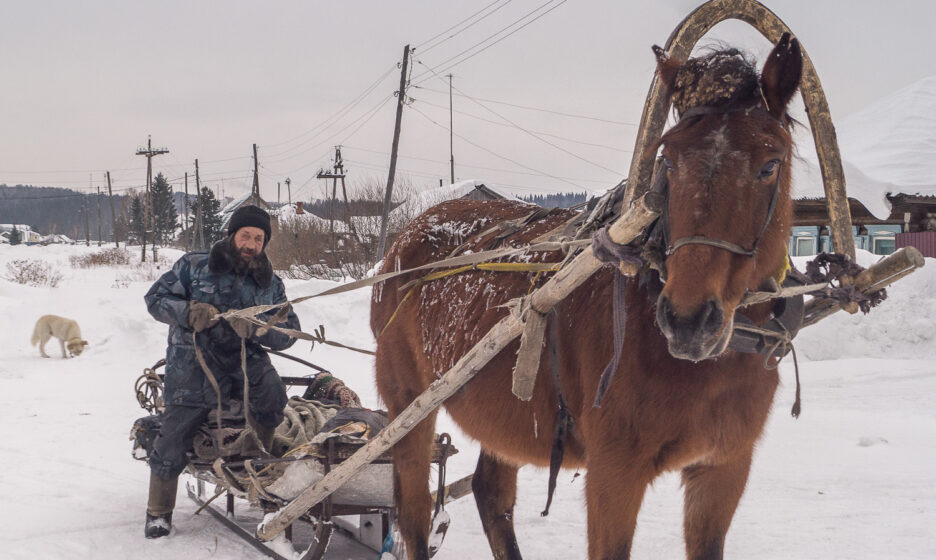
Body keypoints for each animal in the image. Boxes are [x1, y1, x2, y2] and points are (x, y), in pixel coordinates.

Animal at [372, 36, 804, 560]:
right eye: (669, 160)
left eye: (769, 164)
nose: (688, 320)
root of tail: (406, 238)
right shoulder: (614, 473)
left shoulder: (723, 468)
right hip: (408, 404)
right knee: (415, 513)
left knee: (490, 491)